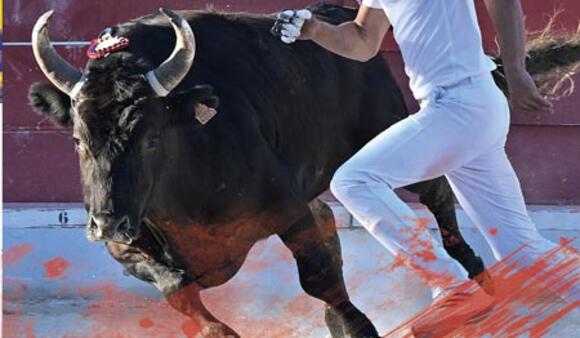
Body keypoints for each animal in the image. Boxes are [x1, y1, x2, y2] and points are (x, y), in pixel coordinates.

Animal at [29, 3, 494, 338]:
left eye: (151, 138)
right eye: (78, 140)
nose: (107, 222)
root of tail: (337, 11)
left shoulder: (284, 208)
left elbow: (318, 276)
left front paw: (358, 328)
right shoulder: (127, 253)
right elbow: (180, 294)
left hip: (390, 130)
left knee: (437, 195)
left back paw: (477, 276)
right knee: (329, 220)